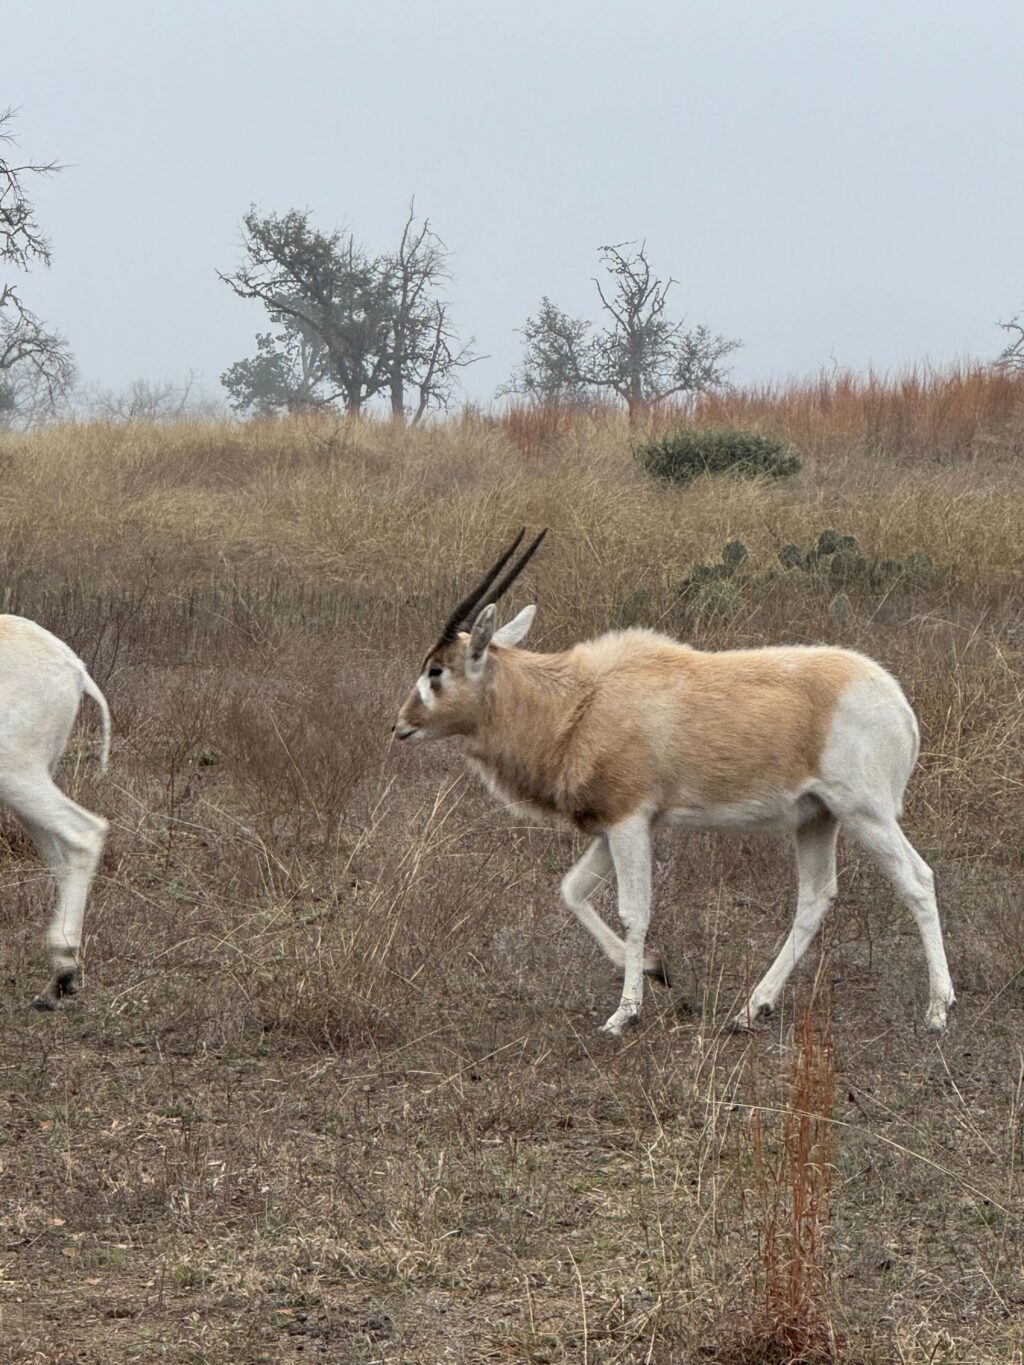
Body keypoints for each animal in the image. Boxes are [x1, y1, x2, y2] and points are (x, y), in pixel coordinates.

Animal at [395, 532, 961, 1031]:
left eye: (437, 670)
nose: (400, 726)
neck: (578, 699)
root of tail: (897, 704)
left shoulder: (628, 822)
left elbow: (634, 910)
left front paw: (624, 1013)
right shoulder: (618, 824)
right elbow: (572, 891)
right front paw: (656, 969)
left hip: (865, 814)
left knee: (917, 881)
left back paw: (937, 1011)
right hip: (817, 819)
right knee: (815, 898)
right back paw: (752, 1009)